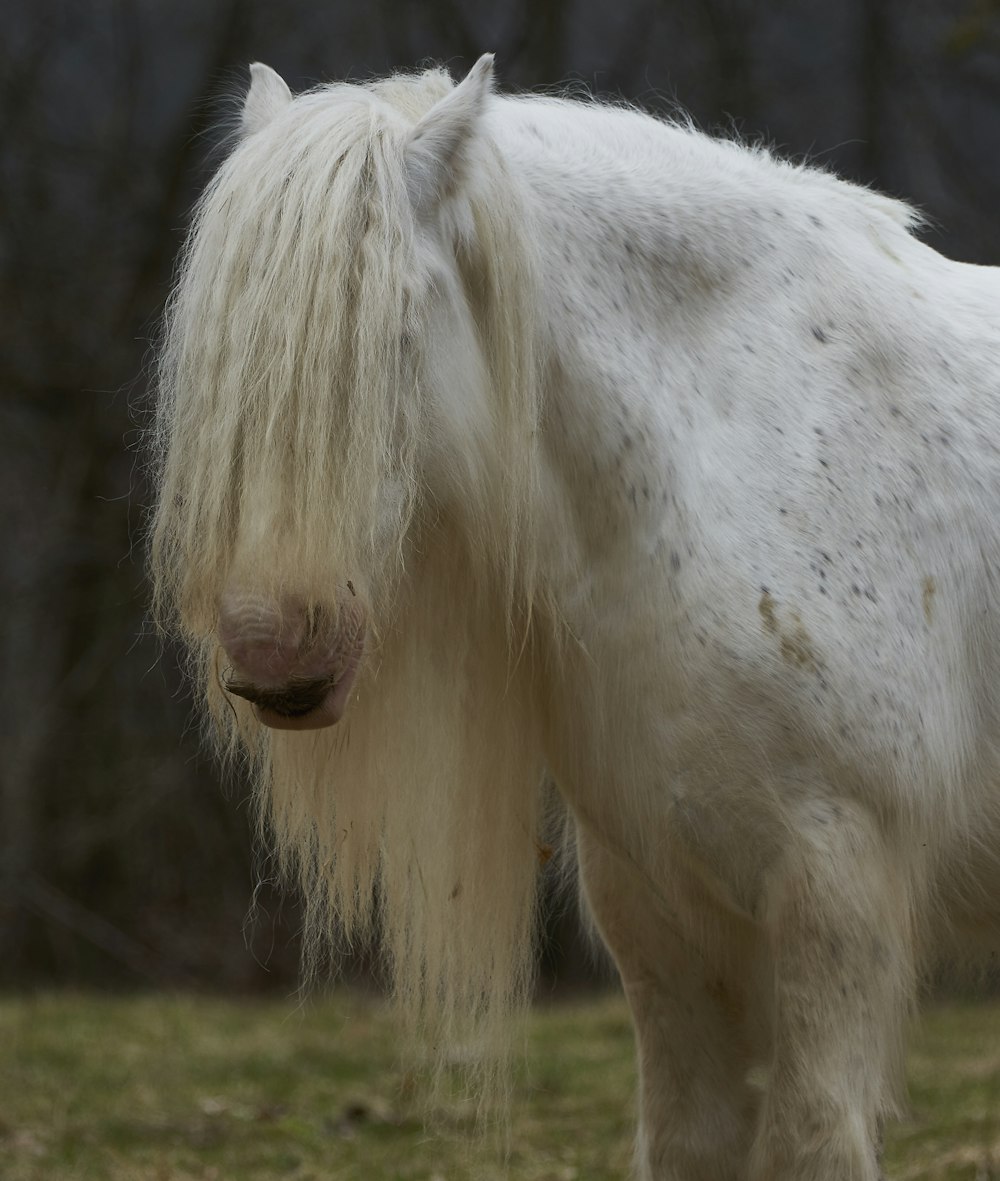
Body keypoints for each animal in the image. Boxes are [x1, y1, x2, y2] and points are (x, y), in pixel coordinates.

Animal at [152, 55, 1000, 1181]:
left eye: (393, 333)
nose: (275, 652)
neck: (740, 441)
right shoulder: (663, 908)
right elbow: (687, 1139)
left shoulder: (837, 894)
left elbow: (816, 1139)